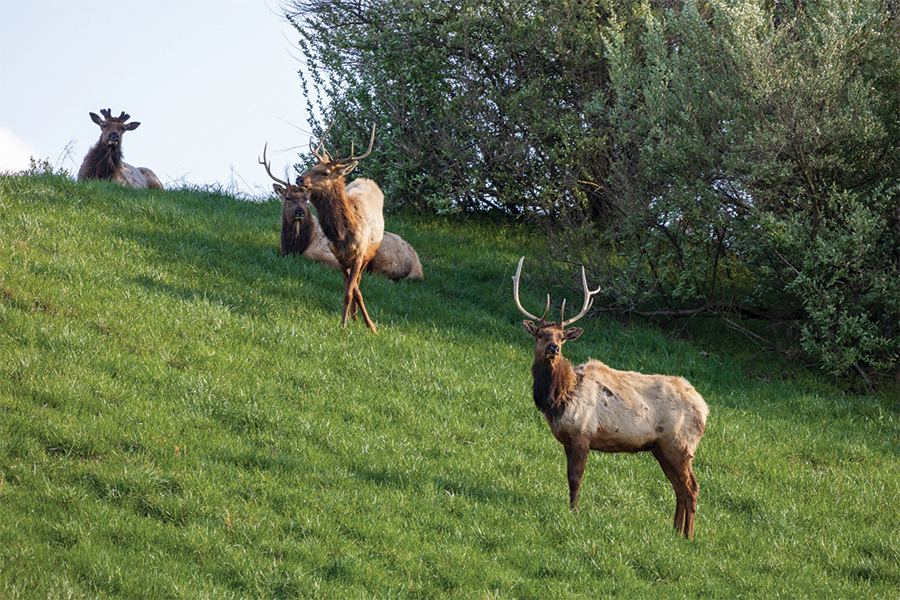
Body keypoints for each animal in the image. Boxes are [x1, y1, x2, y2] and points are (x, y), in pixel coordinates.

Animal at [296, 123, 385, 333]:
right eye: (313, 166)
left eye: (325, 172)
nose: (299, 179)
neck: (343, 233)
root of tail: (367, 180)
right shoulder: (339, 256)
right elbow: (350, 290)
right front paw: (347, 322)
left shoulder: (360, 254)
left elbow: (351, 291)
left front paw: (368, 326)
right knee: (351, 284)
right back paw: (354, 317)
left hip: (369, 255)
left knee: (357, 281)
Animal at [512, 257, 709, 538]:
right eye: (540, 334)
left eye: (562, 337)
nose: (553, 348)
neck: (559, 400)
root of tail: (705, 409)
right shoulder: (566, 439)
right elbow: (568, 477)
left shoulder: (583, 433)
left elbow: (575, 478)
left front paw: (575, 512)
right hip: (661, 448)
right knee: (679, 488)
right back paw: (675, 531)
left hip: (680, 444)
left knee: (691, 487)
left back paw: (689, 536)